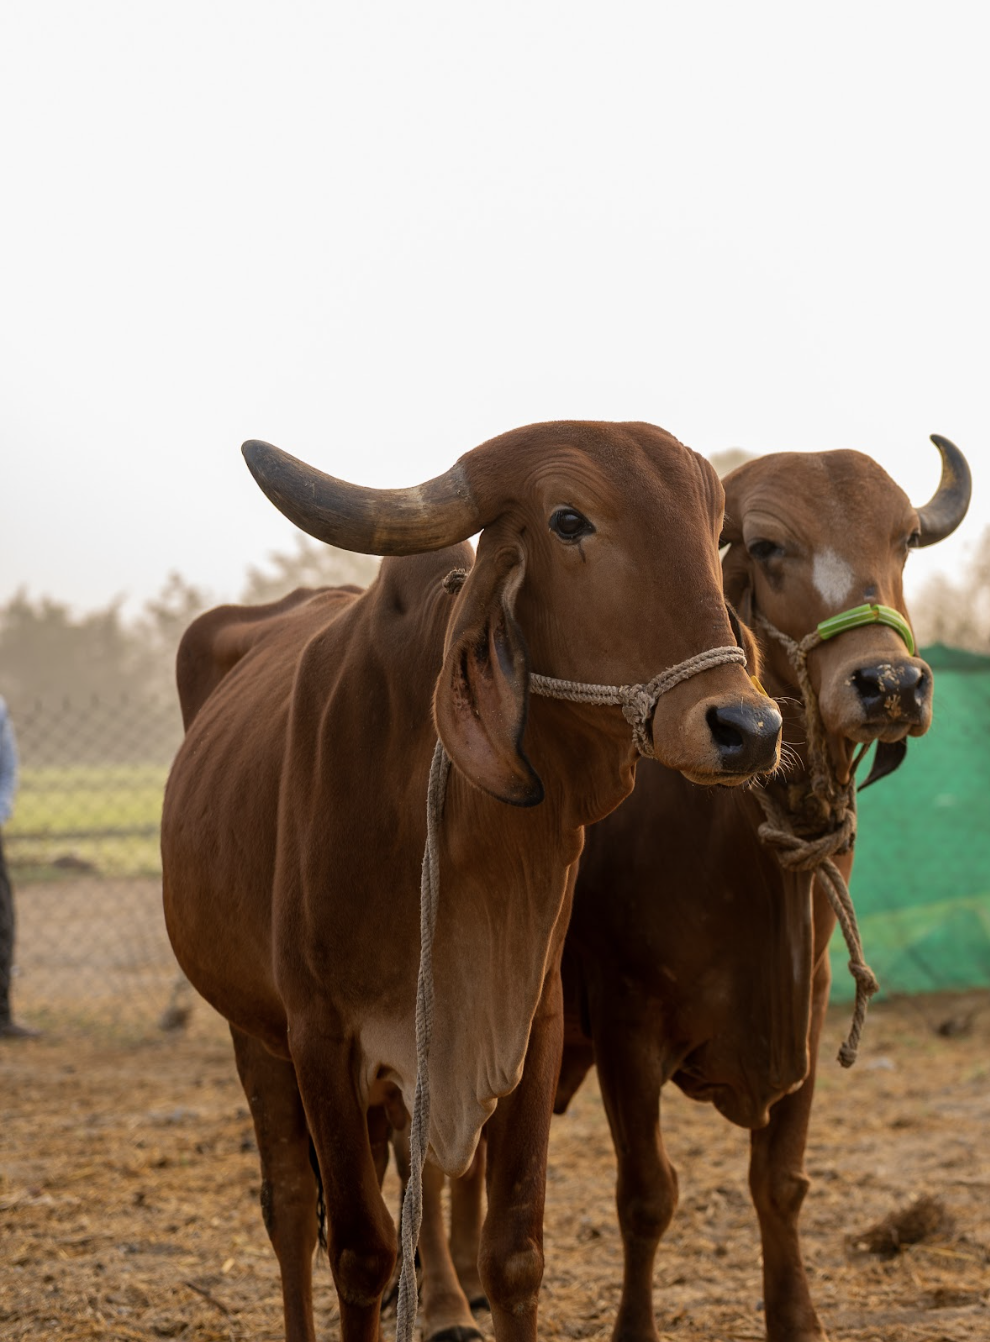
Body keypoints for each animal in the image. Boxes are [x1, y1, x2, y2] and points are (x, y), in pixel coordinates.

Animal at [160, 420, 783, 1342]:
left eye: (711, 533)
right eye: (568, 520)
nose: (749, 726)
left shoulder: (529, 1022)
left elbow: (513, 1250)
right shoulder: (320, 1037)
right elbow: (359, 1253)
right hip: (253, 1032)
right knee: (290, 1206)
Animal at [408, 434, 971, 1342]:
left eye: (905, 541)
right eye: (769, 546)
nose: (890, 685)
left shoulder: (810, 1011)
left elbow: (780, 1184)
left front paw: (797, 1319)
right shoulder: (628, 1027)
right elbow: (647, 1196)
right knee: (429, 1151)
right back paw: (447, 1300)